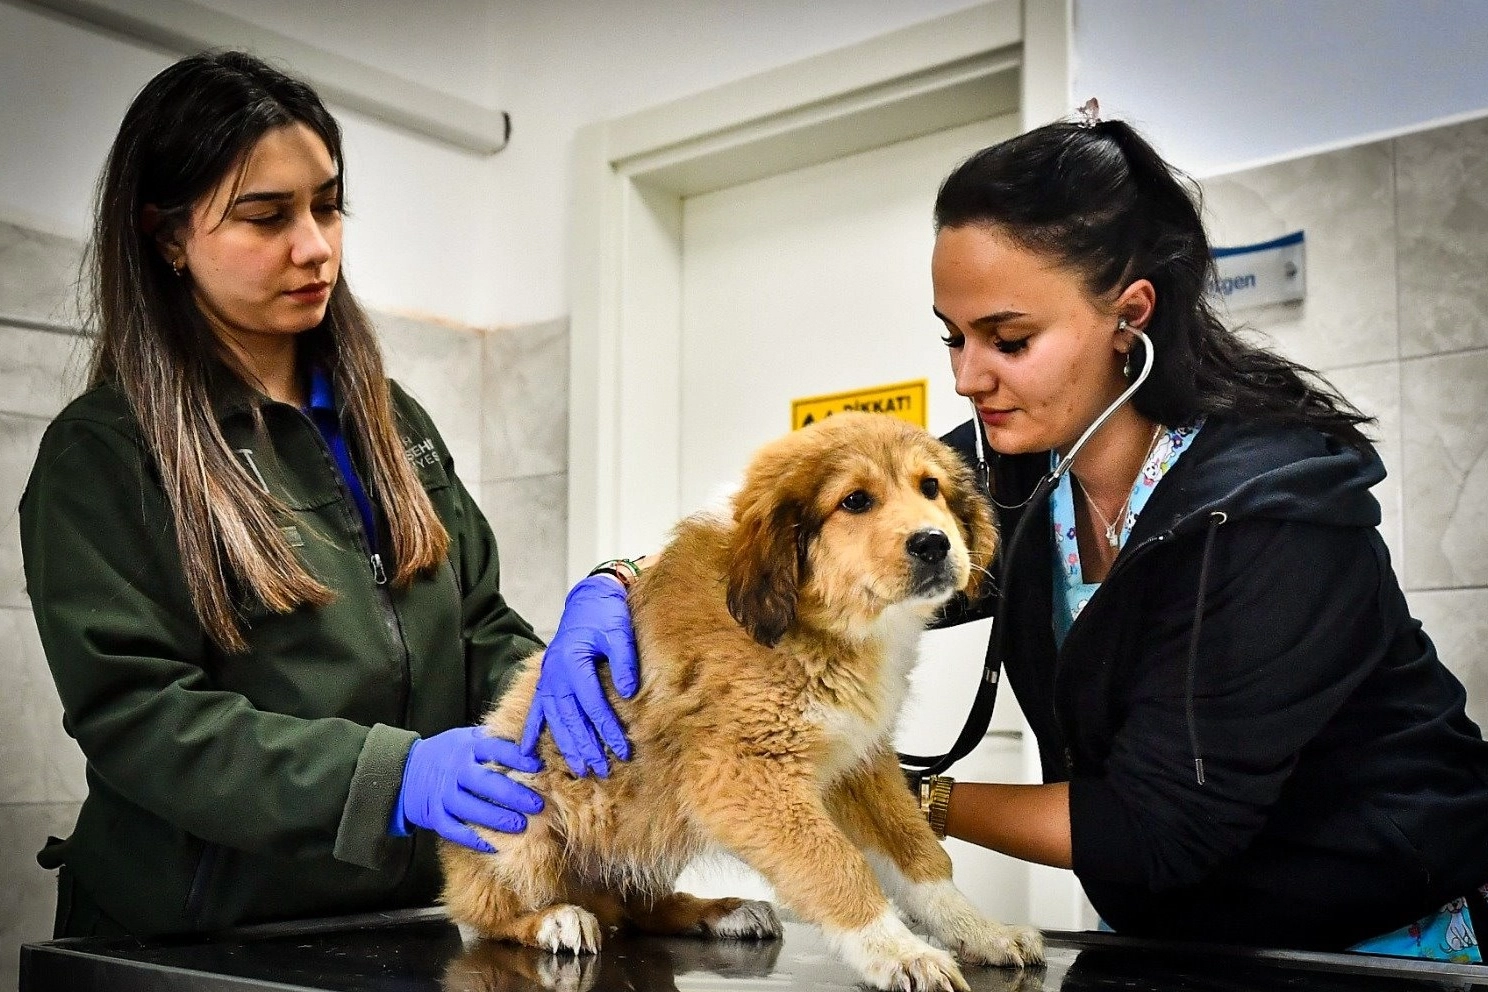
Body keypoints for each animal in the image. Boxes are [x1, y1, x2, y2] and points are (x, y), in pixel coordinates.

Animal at [440, 413, 1047, 992]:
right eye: (855, 500)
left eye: (931, 488)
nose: (934, 543)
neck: (816, 624)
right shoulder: (742, 776)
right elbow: (838, 864)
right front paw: (900, 954)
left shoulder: (858, 762)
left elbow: (920, 856)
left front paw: (981, 932)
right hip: (519, 821)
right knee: (487, 912)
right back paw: (555, 918)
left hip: (654, 822)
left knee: (638, 904)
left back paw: (721, 911)